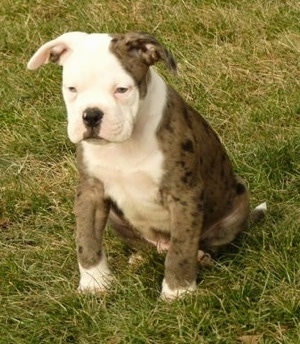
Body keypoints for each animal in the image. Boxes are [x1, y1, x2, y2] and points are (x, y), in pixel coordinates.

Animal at [28, 33, 266, 300]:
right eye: (72, 89)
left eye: (122, 89)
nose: (91, 115)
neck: (125, 144)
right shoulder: (90, 191)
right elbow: (86, 238)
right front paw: (94, 284)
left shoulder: (184, 195)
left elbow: (181, 248)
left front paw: (177, 292)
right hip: (116, 218)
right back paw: (140, 258)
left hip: (236, 207)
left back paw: (201, 257)